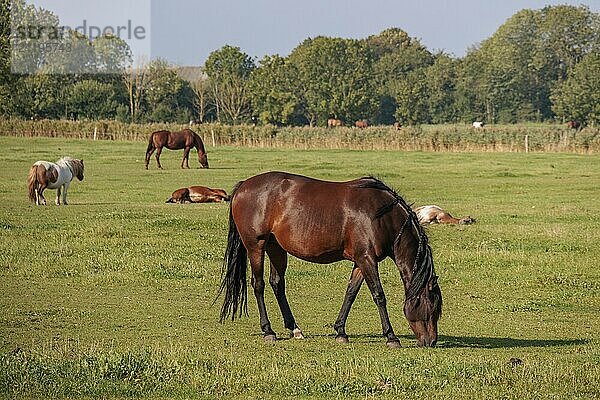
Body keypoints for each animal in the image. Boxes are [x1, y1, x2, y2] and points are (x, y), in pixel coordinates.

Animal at [219, 171, 440, 346]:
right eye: (433, 307)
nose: (430, 342)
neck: (381, 215)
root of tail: (243, 186)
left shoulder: (360, 261)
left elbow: (350, 293)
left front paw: (340, 331)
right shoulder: (366, 259)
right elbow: (378, 295)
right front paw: (391, 337)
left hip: (276, 248)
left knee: (277, 283)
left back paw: (294, 329)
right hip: (256, 246)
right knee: (258, 284)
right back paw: (268, 331)